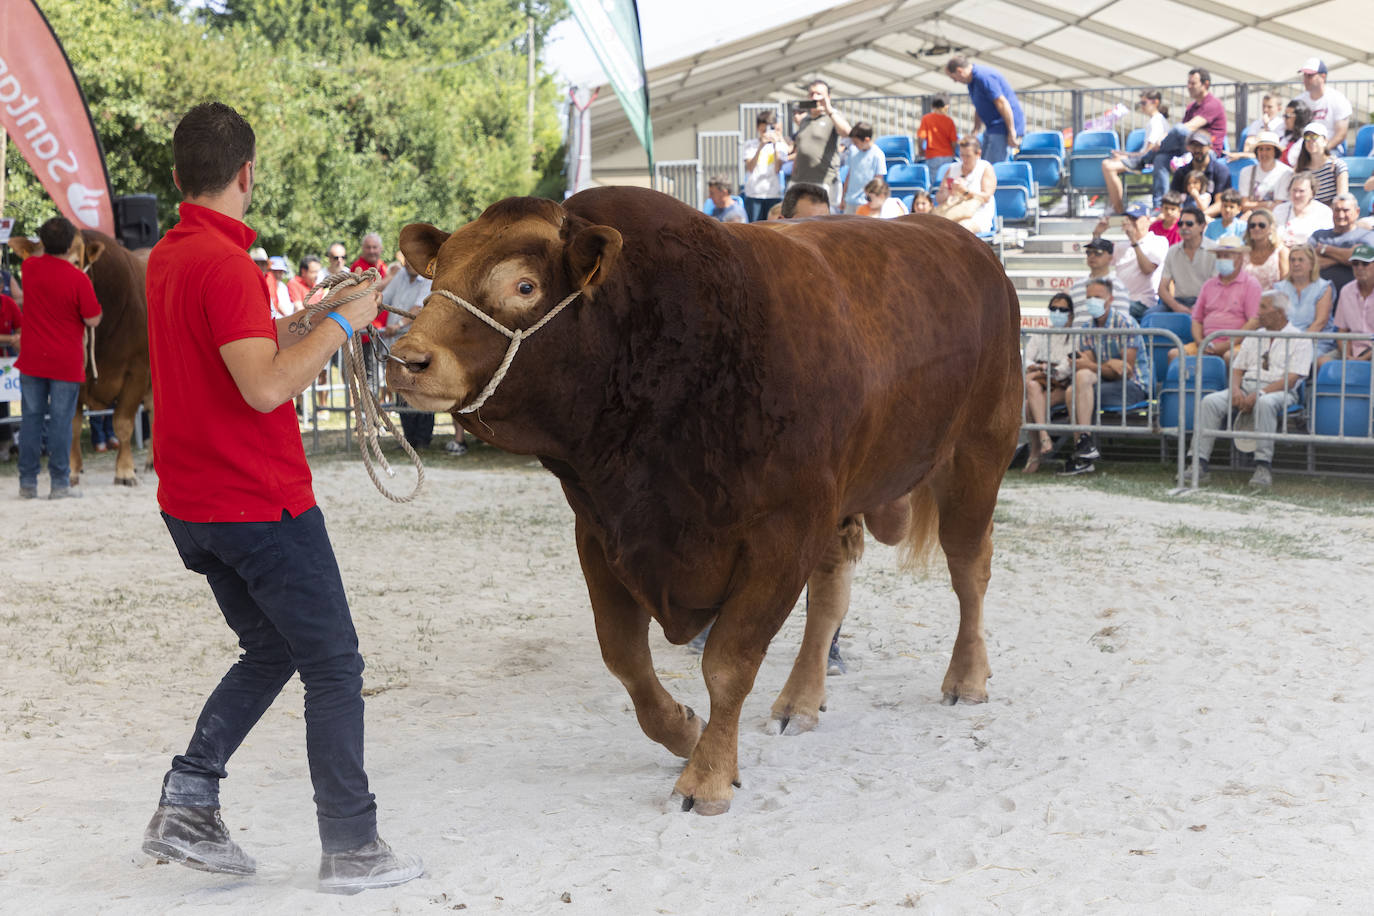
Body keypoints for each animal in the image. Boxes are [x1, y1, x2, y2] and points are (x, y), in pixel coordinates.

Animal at [387, 188, 1022, 818]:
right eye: (439, 273)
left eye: (524, 286)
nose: (407, 358)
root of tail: (968, 246)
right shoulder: (601, 530)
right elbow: (625, 658)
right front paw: (683, 731)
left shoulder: (782, 531)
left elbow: (728, 663)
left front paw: (709, 776)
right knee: (831, 593)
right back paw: (800, 699)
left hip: (977, 453)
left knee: (969, 567)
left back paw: (967, 678)